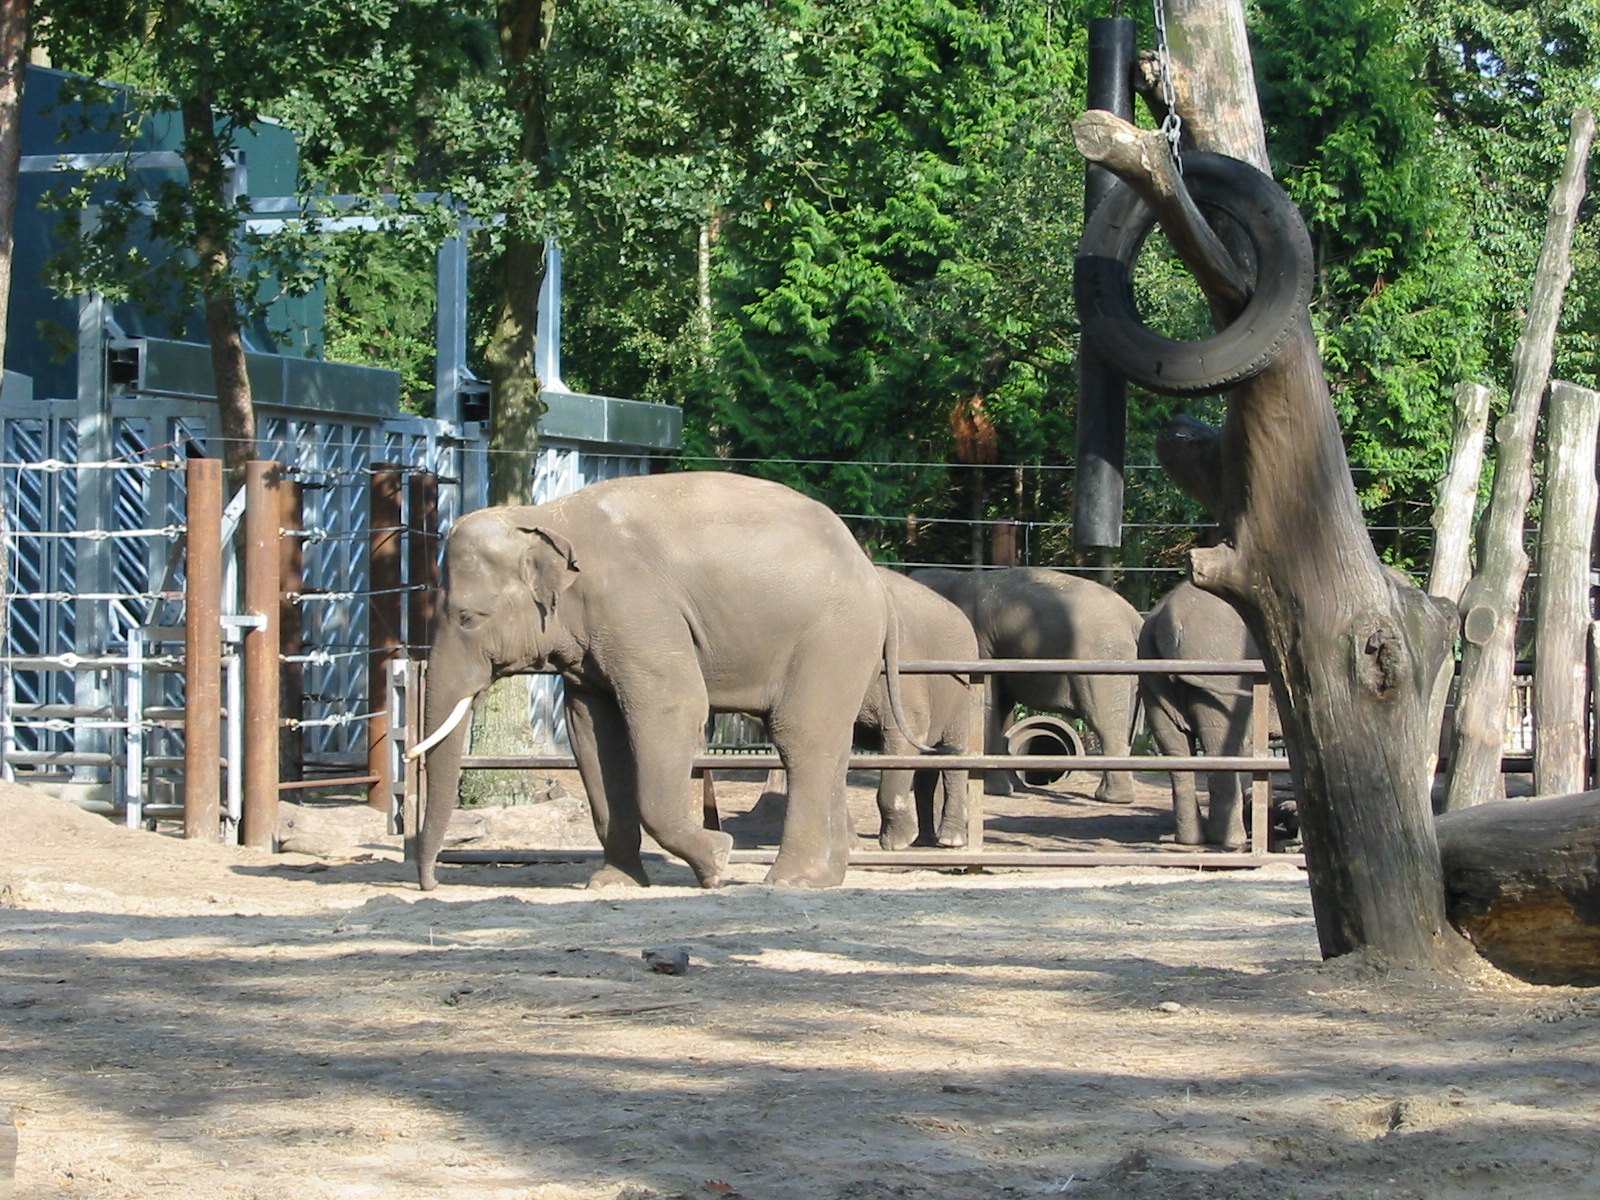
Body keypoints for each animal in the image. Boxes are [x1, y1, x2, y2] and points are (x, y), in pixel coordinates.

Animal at [409, 471, 918, 891]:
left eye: (468, 618)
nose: (430, 884)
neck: (544, 516)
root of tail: (872, 574)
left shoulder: (637, 609)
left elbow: (673, 707)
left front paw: (718, 861)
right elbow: (593, 734)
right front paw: (612, 884)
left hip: (833, 636)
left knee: (801, 737)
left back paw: (790, 881)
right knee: (831, 743)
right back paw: (825, 878)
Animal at [864, 569, 979, 851]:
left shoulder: (903, 668)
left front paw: (896, 844)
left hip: (961, 692)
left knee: (952, 755)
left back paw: (950, 841)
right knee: (926, 768)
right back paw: (924, 840)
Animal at [908, 566, 1143, 804]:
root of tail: (1135, 619)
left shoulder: (978, 644)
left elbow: (987, 705)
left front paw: (996, 790)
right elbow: (999, 707)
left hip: (1103, 662)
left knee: (1105, 723)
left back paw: (1112, 798)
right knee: (1126, 727)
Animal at [1138, 580, 1282, 848]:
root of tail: (1170, 615)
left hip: (1151, 672)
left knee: (1175, 748)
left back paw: (1190, 841)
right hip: (1219, 667)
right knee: (1223, 746)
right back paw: (1231, 841)